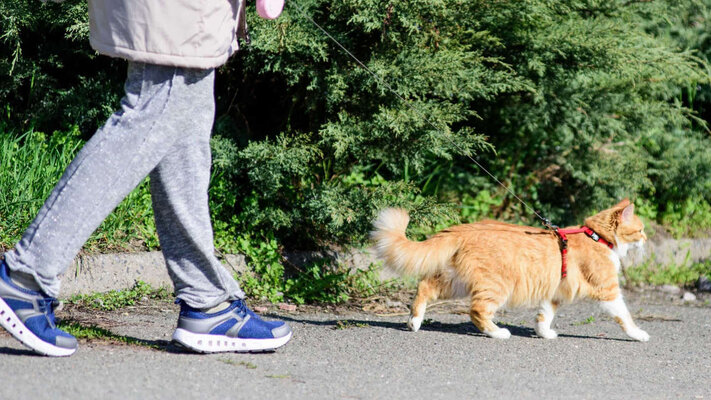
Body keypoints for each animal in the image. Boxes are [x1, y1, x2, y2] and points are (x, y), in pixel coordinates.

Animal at [372, 199, 652, 340]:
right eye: (640, 230)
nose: (647, 239)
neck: (597, 237)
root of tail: (464, 227)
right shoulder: (608, 290)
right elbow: (625, 317)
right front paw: (639, 334)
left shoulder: (555, 291)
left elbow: (544, 316)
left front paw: (544, 334)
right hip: (495, 286)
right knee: (476, 311)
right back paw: (498, 333)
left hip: (455, 281)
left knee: (424, 287)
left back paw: (414, 322)